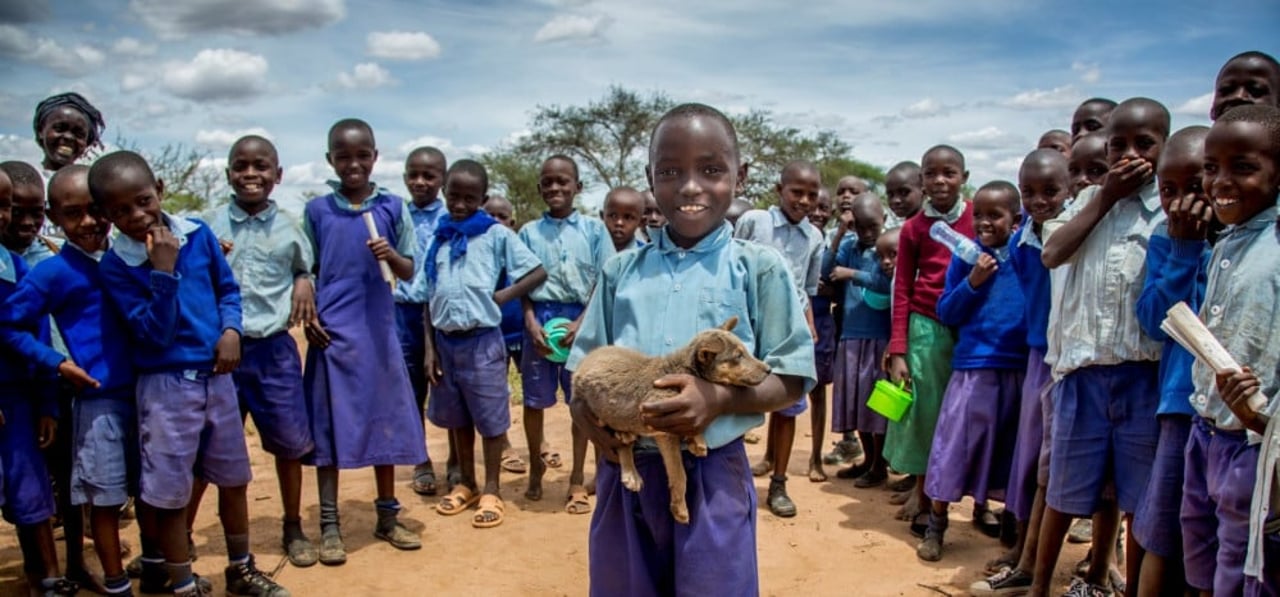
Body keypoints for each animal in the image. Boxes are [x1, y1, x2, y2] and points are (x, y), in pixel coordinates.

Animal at [573, 317, 768, 522]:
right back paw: (630, 468)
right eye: (738, 356)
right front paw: (679, 508)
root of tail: (583, 363)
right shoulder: (662, 426)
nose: (769, 369)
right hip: (600, 408)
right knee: (620, 442)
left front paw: (697, 440)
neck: (684, 369)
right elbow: (679, 474)